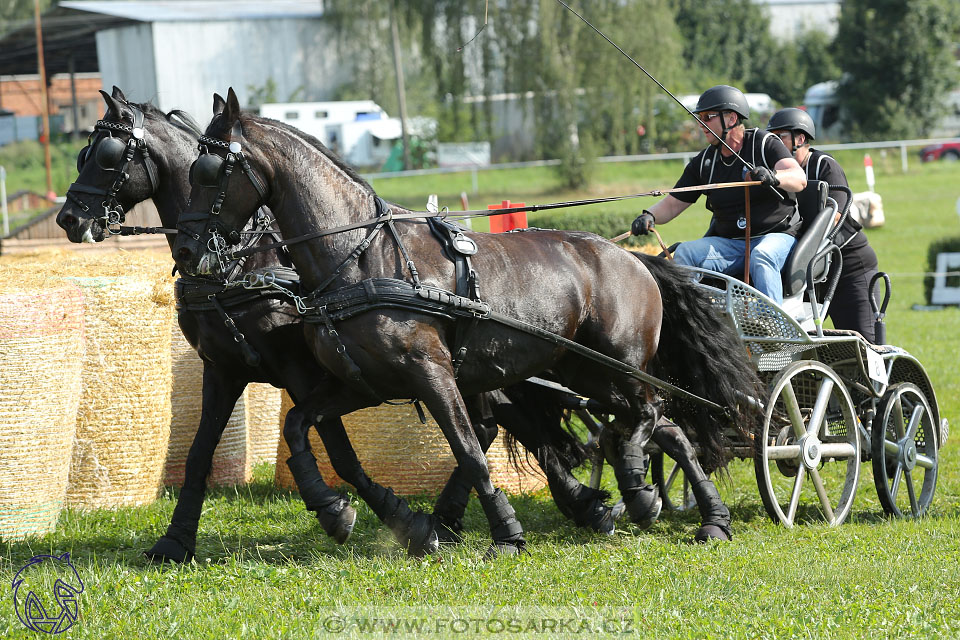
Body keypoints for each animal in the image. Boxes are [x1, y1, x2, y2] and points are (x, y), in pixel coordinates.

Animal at [54, 86, 624, 560]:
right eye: (85, 153)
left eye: (106, 156)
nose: (69, 218)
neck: (246, 262)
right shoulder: (224, 370)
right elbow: (200, 455)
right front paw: (174, 541)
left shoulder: (302, 369)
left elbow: (340, 452)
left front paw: (370, 516)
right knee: (494, 423)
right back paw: (530, 508)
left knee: (502, 423)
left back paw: (572, 504)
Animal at [171, 89, 756, 556]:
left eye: (210, 170)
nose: (187, 248)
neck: (359, 257)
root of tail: (636, 258)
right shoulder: (363, 382)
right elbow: (300, 427)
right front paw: (337, 511)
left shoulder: (431, 373)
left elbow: (471, 452)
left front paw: (506, 534)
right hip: (584, 372)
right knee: (667, 427)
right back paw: (693, 512)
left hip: (620, 366)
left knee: (654, 415)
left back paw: (643, 484)